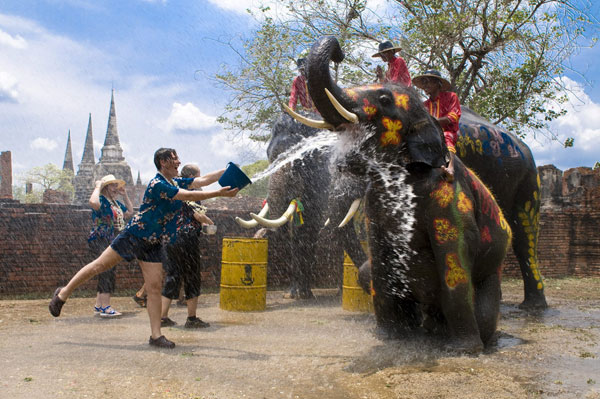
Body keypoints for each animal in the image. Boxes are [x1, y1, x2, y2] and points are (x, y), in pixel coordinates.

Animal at [236, 112, 368, 300]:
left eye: (299, 162)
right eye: (270, 158)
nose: (260, 235)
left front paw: (301, 294)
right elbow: (302, 229)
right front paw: (295, 295)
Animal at [286, 35, 516, 354]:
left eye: (384, 100)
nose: (339, 52)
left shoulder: (450, 200)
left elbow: (454, 260)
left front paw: (463, 351)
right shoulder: (376, 205)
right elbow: (380, 258)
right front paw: (390, 337)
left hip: (494, 265)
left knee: (484, 303)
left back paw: (478, 340)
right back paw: (428, 331)